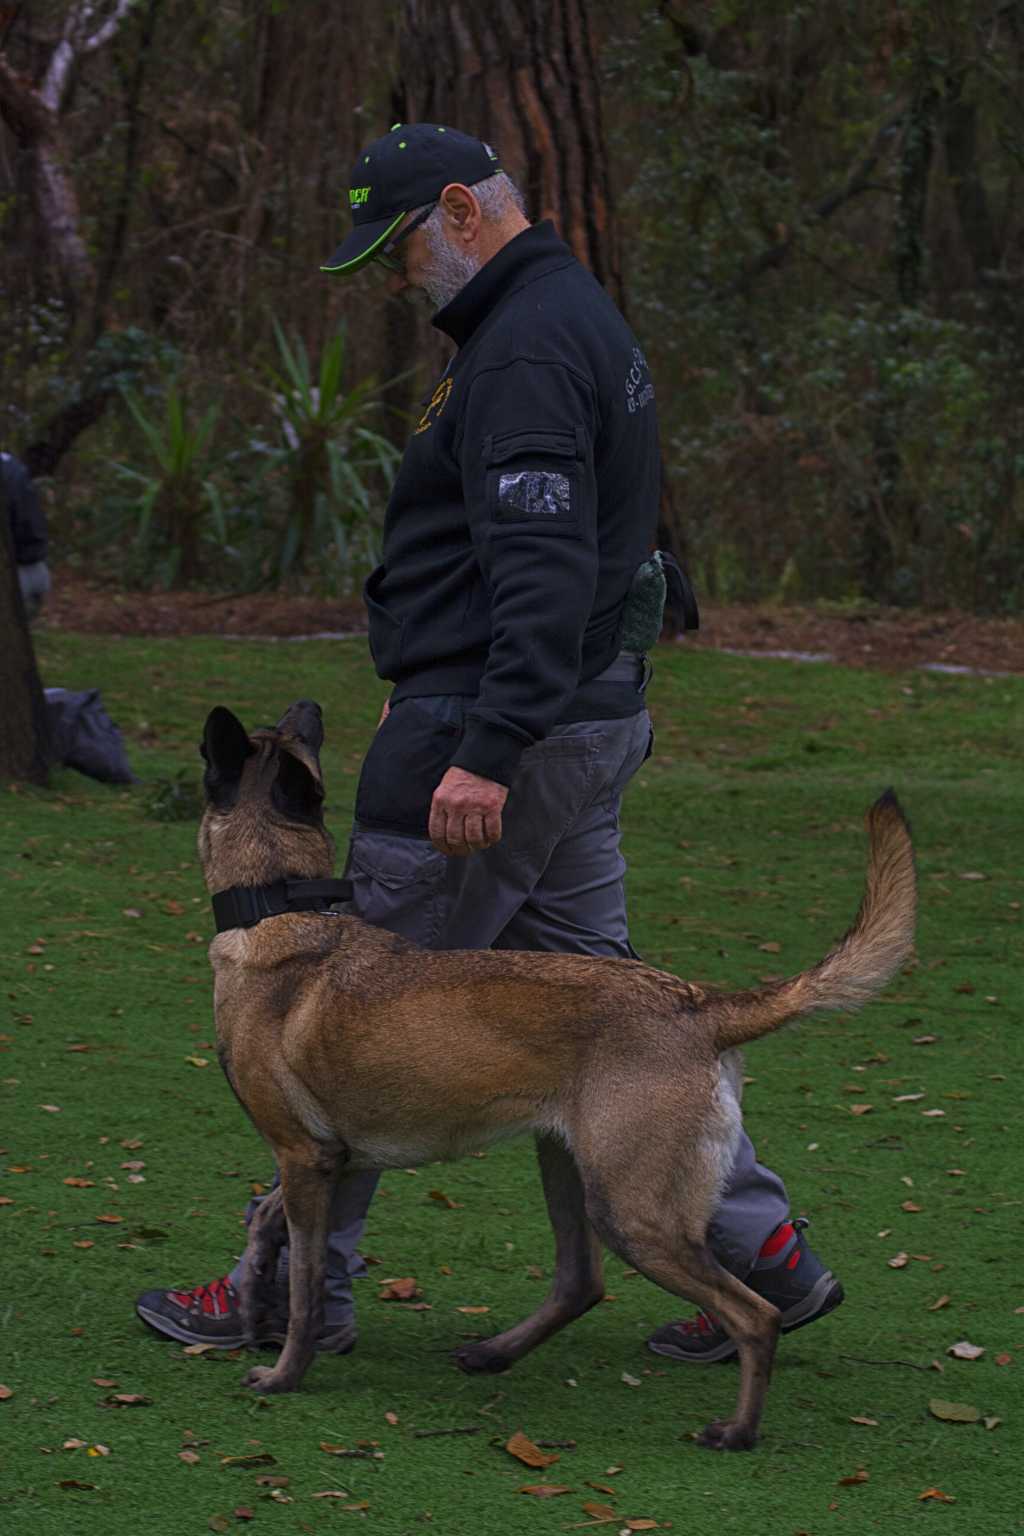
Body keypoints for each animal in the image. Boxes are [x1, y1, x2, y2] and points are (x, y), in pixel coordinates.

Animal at [199, 703, 921, 1443]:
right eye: (292, 731)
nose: (308, 708)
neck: (278, 906)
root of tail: (696, 1002)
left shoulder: (304, 1157)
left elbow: (307, 1285)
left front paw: (285, 1372)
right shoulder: (327, 1160)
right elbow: (264, 1223)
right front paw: (251, 1303)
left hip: (631, 1210)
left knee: (755, 1315)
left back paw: (737, 1431)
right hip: (570, 1167)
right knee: (582, 1283)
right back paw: (495, 1352)